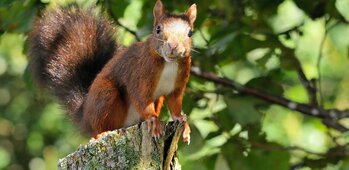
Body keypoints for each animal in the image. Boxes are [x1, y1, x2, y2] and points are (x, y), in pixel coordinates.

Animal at [27, 0, 196, 143]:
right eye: (158, 29)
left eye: (190, 33)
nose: (173, 45)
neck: (168, 65)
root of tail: (85, 116)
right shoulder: (139, 74)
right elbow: (140, 98)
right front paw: (154, 121)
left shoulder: (176, 88)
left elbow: (175, 104)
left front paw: (183, 122)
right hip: (105, 95)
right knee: (98, 128)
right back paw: (101, 133)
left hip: (155, 100)